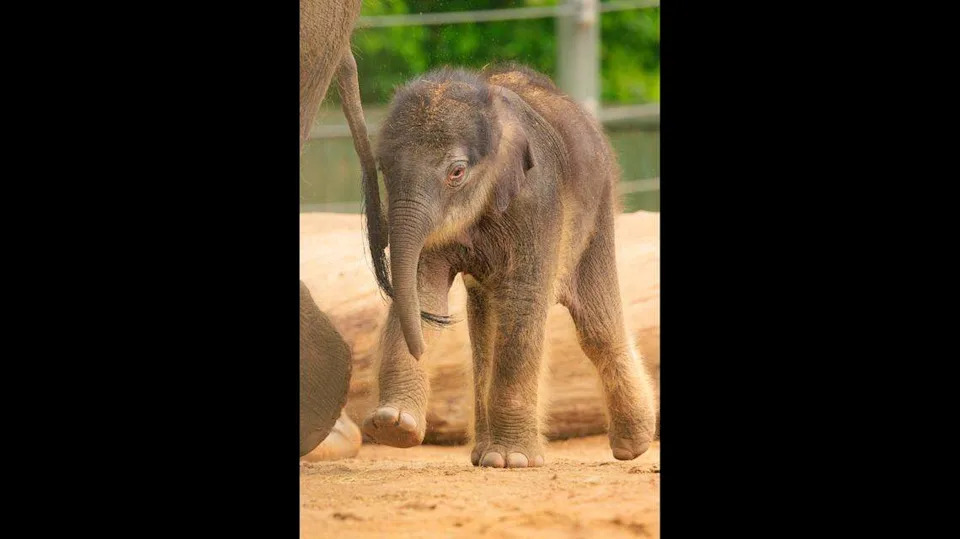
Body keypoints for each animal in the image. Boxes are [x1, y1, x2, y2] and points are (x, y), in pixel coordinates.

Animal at [357, 64, 658, 468]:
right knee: (486, 324)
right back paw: (483, 455)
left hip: (598, 212)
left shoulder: (538, 202)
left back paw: (631, 447)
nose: (420, 348)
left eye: (456, 172)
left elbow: (522, 301)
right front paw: (393, 426)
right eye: (383, 168)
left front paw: (514, 460)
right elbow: (422, 287)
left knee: (598, 326)